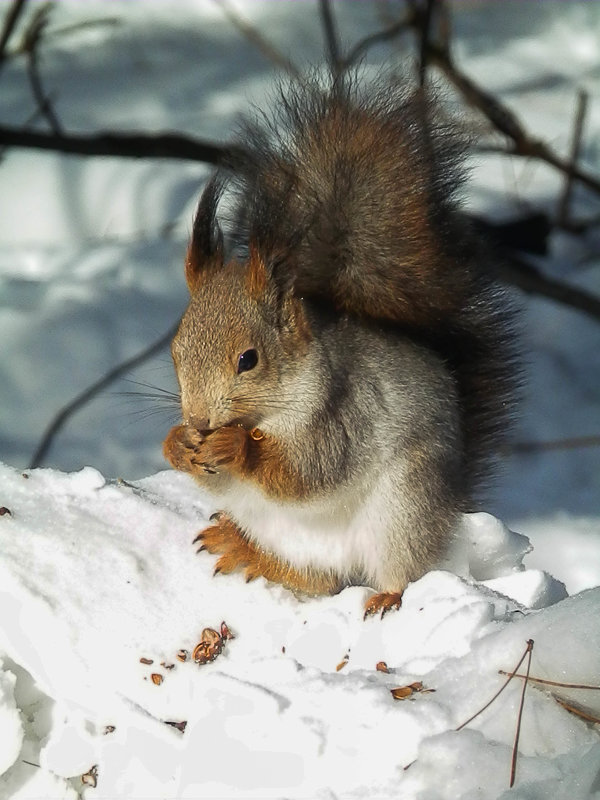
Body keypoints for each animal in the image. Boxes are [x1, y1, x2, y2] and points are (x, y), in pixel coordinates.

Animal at [162, 72, 516, 616]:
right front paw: (177, 444)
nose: (200, 422)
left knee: (389, 570)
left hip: (402, 509)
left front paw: (236, 447)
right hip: (273, 526)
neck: (265, 414)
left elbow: (310, 472)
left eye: (249, 359)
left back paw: (386, 597)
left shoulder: (343, 413)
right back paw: (244, 548)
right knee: (315, 579)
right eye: (176, 353)